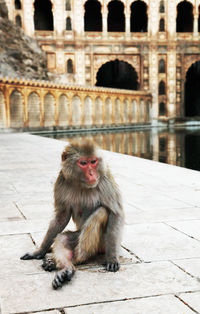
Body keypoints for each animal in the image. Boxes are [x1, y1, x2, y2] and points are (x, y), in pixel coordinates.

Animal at [20, 142, 123, 290]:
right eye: (83, 163)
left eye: (93, 161)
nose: (92, 173)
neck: (81, 182)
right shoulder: (61, 180)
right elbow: (61, 218)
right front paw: (39, 251)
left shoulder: (105, 178)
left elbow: (115, 213)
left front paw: (112, 258)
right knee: (62, 238)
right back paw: (65, 267)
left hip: (103, 243)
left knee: (101, 212)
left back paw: (74, 261)